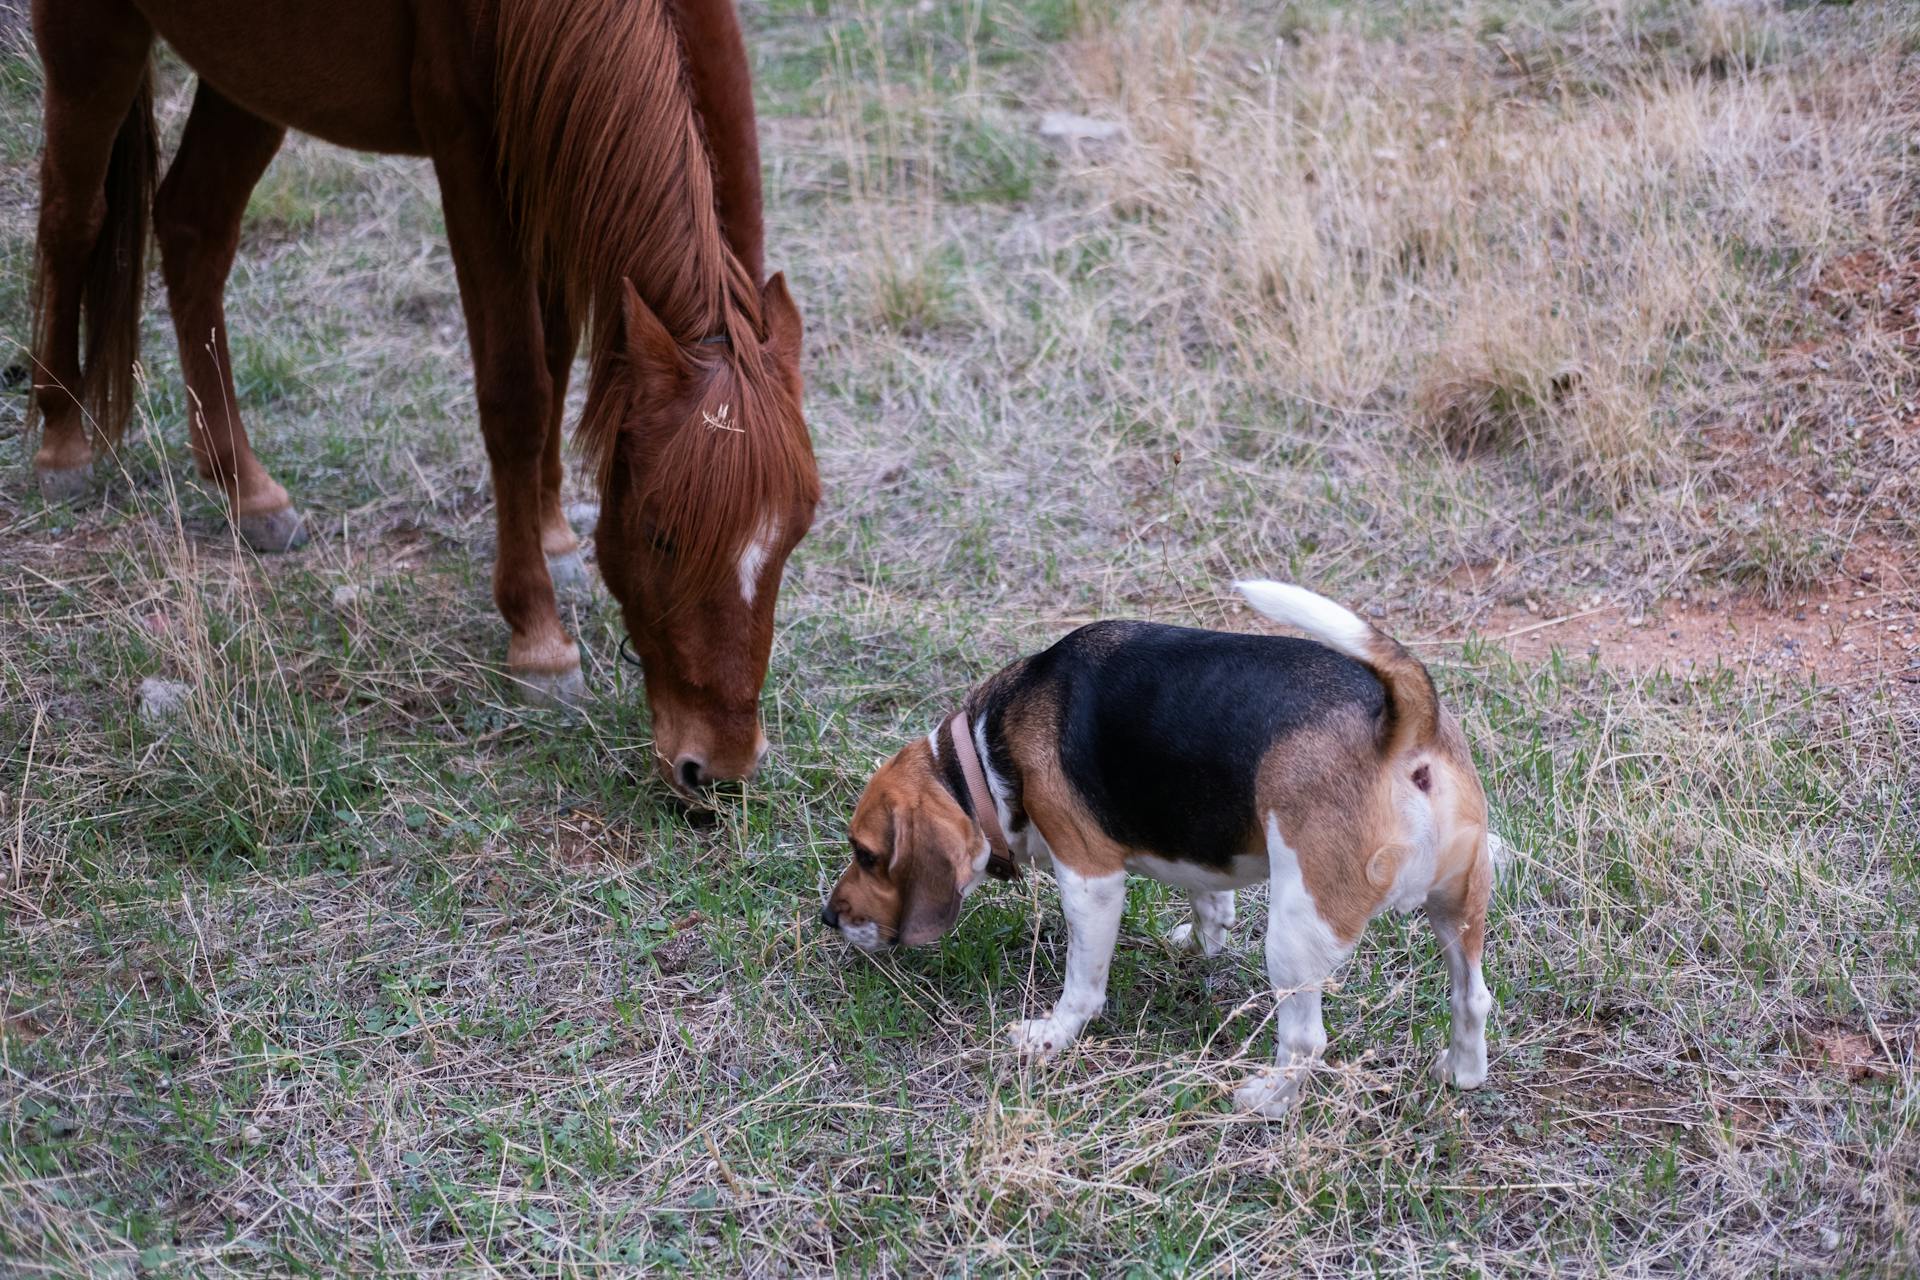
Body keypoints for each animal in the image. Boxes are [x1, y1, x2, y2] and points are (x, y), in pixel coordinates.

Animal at [24, 0, 817, 794]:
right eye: (660, 534)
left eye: (794, 536)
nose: (720, 768)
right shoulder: (471, 152)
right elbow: (519, 391)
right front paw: (539, 638)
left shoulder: (552, 154)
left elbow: (559, 356)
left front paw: (555, 532)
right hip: (95, 36)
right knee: (72, 215)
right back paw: (62, 439)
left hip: (246, 70)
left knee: (193, 228)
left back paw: (247, 490)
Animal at [821, 587, 1497, 1113]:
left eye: (868, 855)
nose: (828, 917)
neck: (987, 752)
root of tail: (1403, 725)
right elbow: (1209, 901)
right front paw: (1200, 942)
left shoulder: (1089, 878)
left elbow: (1083, 984)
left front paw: (1052, 1035)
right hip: (1459, 908)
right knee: (1471, 995)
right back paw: (1459, 1072)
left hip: (1296, 932)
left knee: (1307, 1041)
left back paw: (1264, 1100)